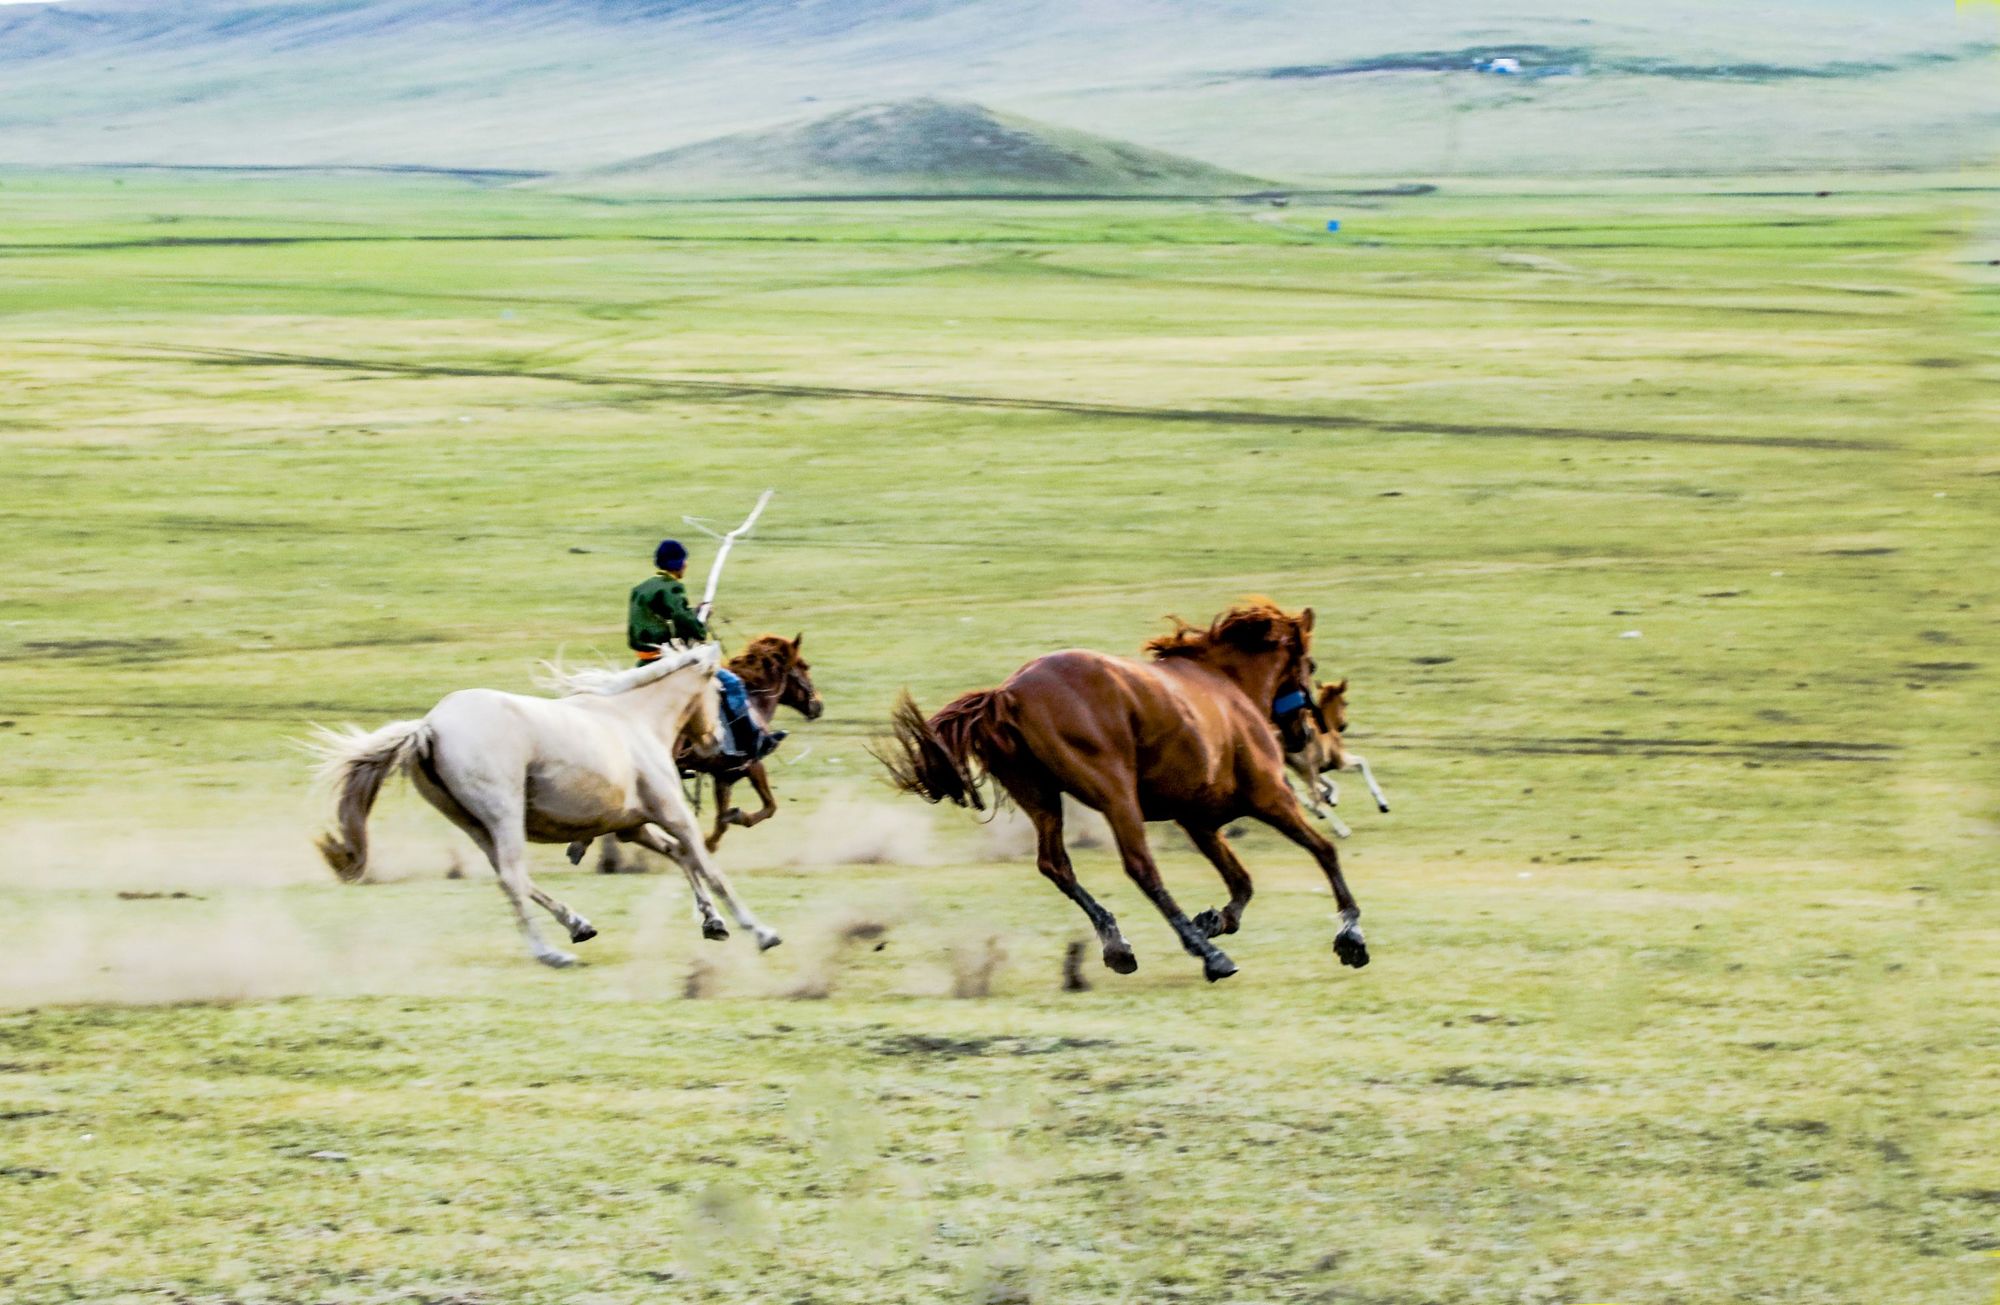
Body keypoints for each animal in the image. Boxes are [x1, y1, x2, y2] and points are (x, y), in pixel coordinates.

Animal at [310, 644, 780, 964]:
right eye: (725, 691)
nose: (721, 746)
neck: (633, 720)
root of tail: (429, 726)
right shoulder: (672, 813)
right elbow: (708, 866)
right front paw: (759, 931)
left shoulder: (632, 826)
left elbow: (681, 857)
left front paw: (714, 923)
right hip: (503, 816)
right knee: (512, 879)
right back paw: (550, 953)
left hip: (477, 826)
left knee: (514, 878)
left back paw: (578, 926)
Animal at [884, 600, 1368, 976]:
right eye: (1311, 664)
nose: (1305, 735)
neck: (1228, 686)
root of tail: (1007, 694)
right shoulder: (1271, 797)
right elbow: (1325, 851)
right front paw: (1351, 934)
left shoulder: (1199, 822)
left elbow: (1242, 882)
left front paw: (1215, 918)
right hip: (1116, 794)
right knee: (1141, 868)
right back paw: (1209, 956)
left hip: (1041, 799)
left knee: (1056, 865)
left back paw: (1119, 944)